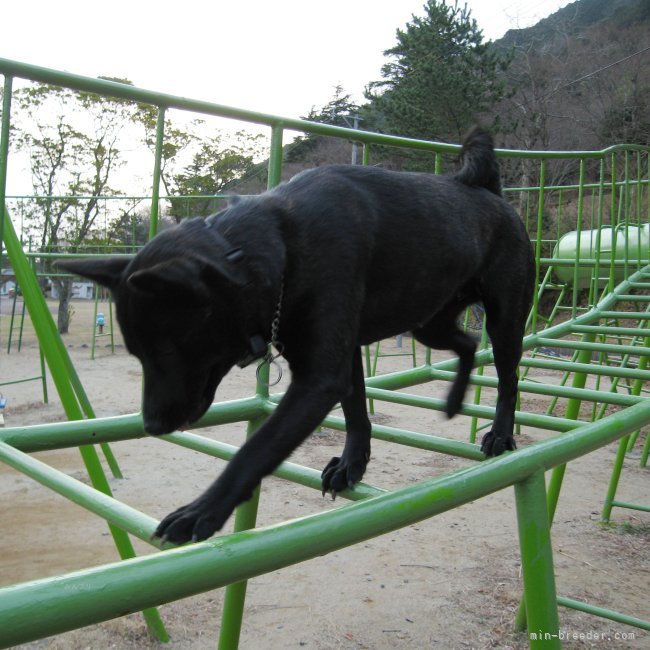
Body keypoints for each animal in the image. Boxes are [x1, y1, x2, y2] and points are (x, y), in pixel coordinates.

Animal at [59, 126, 532, 540]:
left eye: (169, 352)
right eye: (138, 355)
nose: (152, 425)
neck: (279, 245)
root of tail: (489, 192)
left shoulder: (318, 379)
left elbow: (256, 450)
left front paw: (201, 511)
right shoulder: (345, 356)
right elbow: (356, 412)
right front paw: (351, 465)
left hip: (504, 320)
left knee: (508, 379)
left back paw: (500, 433)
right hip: (428, 323)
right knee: (467, 344)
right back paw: (454, 400)